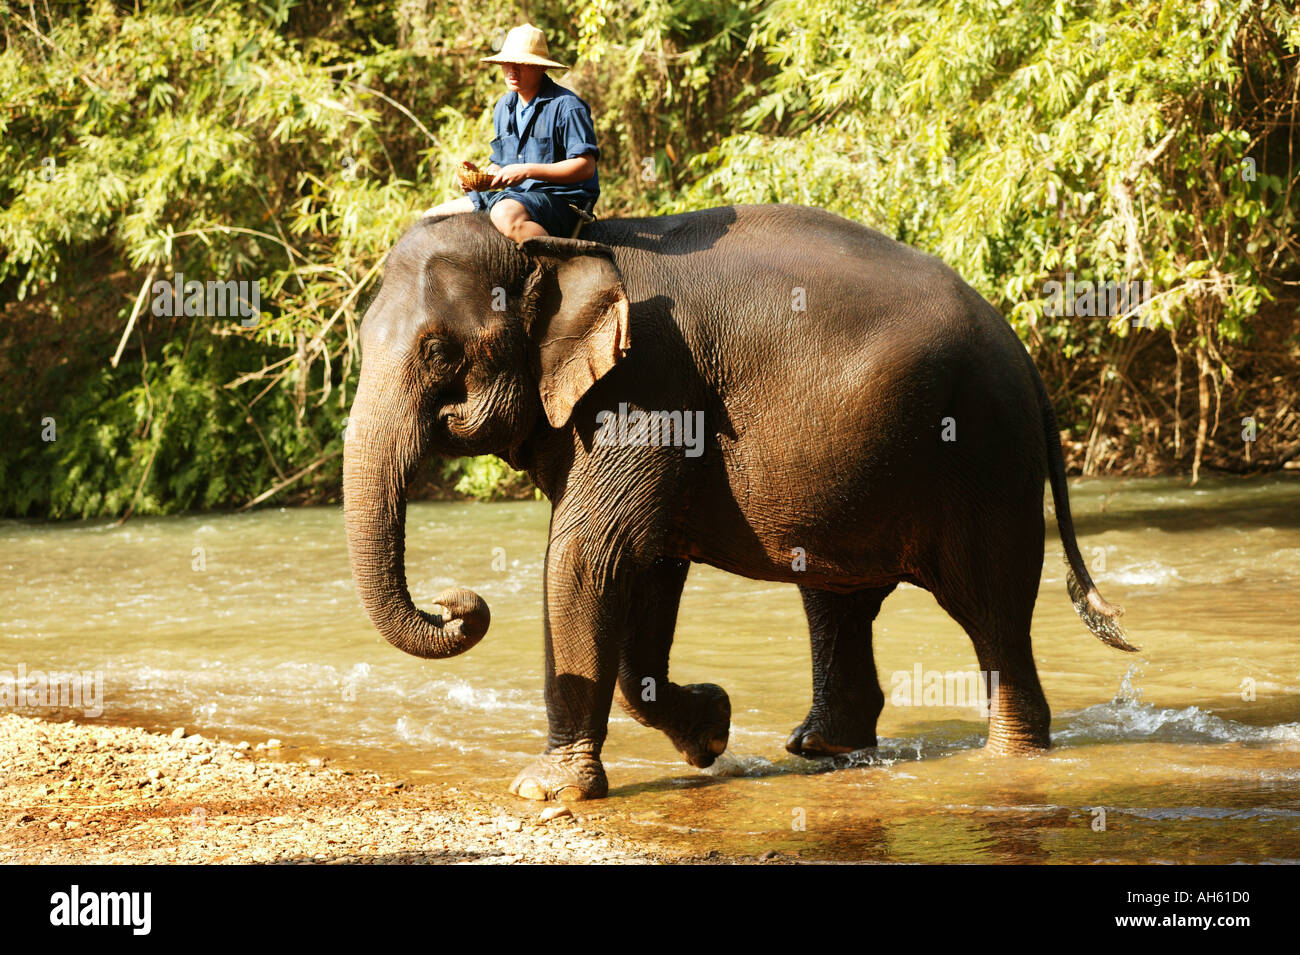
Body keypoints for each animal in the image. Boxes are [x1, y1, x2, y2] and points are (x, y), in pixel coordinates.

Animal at [342, 204, 1136, 801]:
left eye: (438, 351)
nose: (456, 601)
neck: (558, 245)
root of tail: (1024, 355)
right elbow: (644, 567)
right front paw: (711, 731)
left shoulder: (650, 385)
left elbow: (590, 554)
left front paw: (545, 790)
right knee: (838, 600)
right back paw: (824, 747)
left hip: (984, 453)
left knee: (991, 609)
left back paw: (1011, 760)